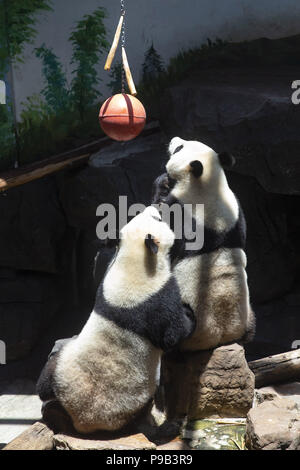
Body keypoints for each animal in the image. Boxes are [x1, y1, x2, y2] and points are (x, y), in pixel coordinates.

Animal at [36, 206, 196, 434]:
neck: (134, 262)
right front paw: (189, 314)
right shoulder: (157, 299)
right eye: (157, 219)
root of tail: (83, 420)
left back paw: (54, 415)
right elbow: (172, 334)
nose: (153, 208)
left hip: (61, 371)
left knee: (45, 383)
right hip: (129, 406)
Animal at [152, 138, 255, 350]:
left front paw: (163, 183)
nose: (174, 139)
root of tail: (220, 337)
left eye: (180, 148)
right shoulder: (236, 214)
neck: (208, 187)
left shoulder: (181, 215)